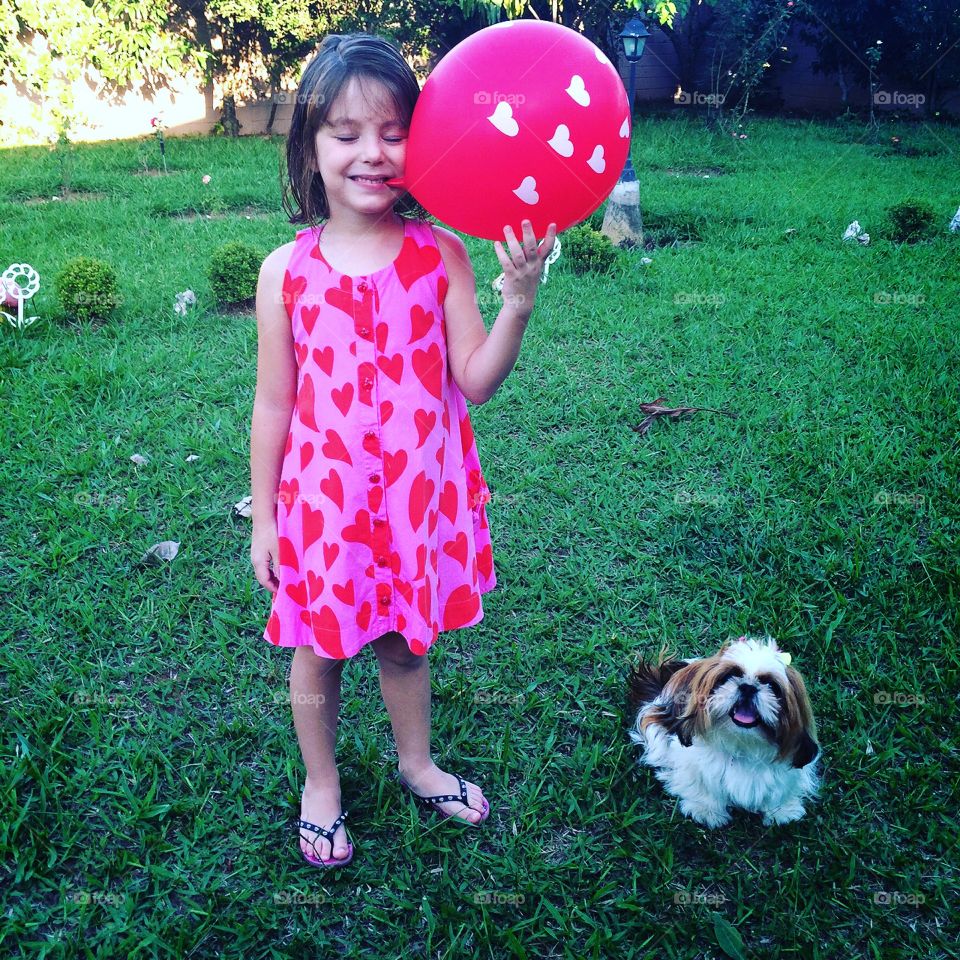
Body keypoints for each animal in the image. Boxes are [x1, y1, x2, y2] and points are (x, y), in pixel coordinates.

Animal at [628, 632, 820, 828]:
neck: (743, 745)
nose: (748, 687)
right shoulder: (694, 764)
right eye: (730, 675)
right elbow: (701, 785)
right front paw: (707, 810)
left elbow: (781, 791)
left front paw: (782, 810)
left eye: (772, 685)